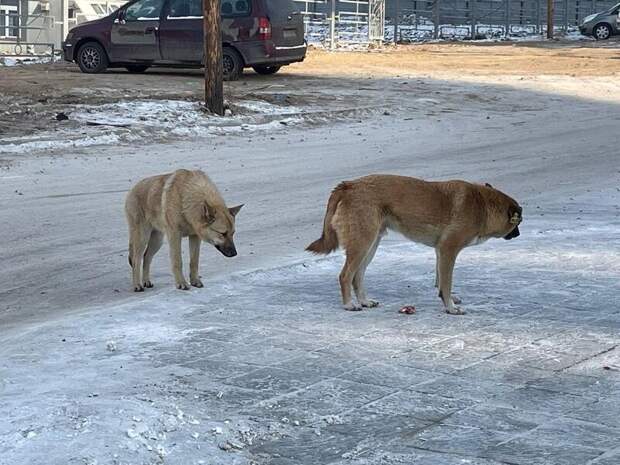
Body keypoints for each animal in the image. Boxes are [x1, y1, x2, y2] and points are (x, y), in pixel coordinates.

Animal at [308, 175, 520, 316]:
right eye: (518, 222)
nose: (518, 234)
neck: (483, 204)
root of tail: (348, 185)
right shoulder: (449, 250)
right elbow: (447, 282)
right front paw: (450, 307)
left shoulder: (441, 251)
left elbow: (440, 280)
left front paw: (447, 298)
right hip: (362, 244)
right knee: (345, 276)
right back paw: (349, 305)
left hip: (370, 245)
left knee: (357, 276)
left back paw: (365, 301)